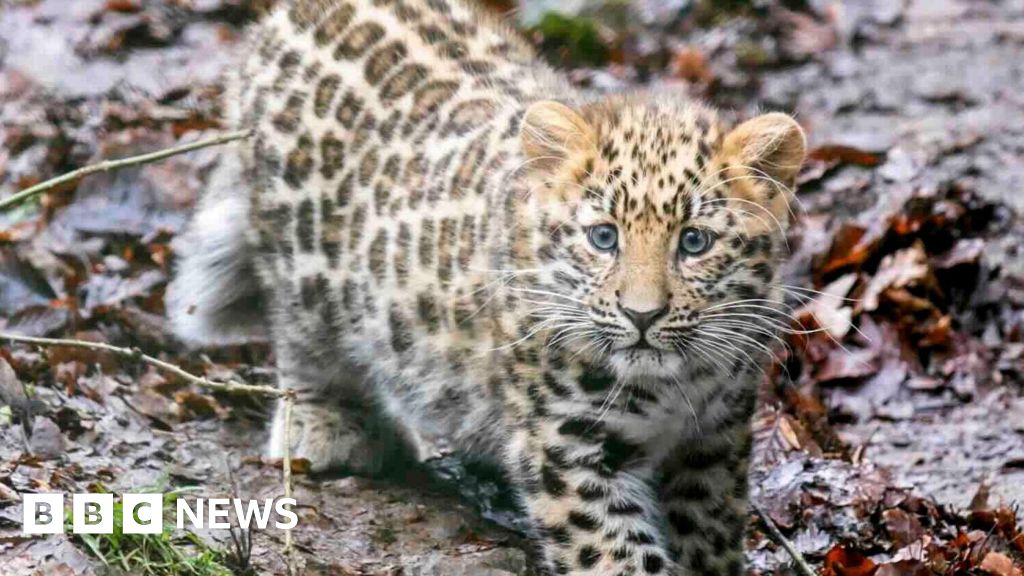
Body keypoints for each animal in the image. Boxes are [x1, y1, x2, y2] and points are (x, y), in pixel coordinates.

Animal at [165, 0, 806, 573]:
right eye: (604, 237)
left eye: (694, 242)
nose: (642, 315)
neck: (675, 385)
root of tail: (281, 19)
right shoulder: (565, 448)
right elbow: (617, 556)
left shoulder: (716, 441)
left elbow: (708, 535)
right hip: (300, 263)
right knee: (304, 340)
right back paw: (327, 427)